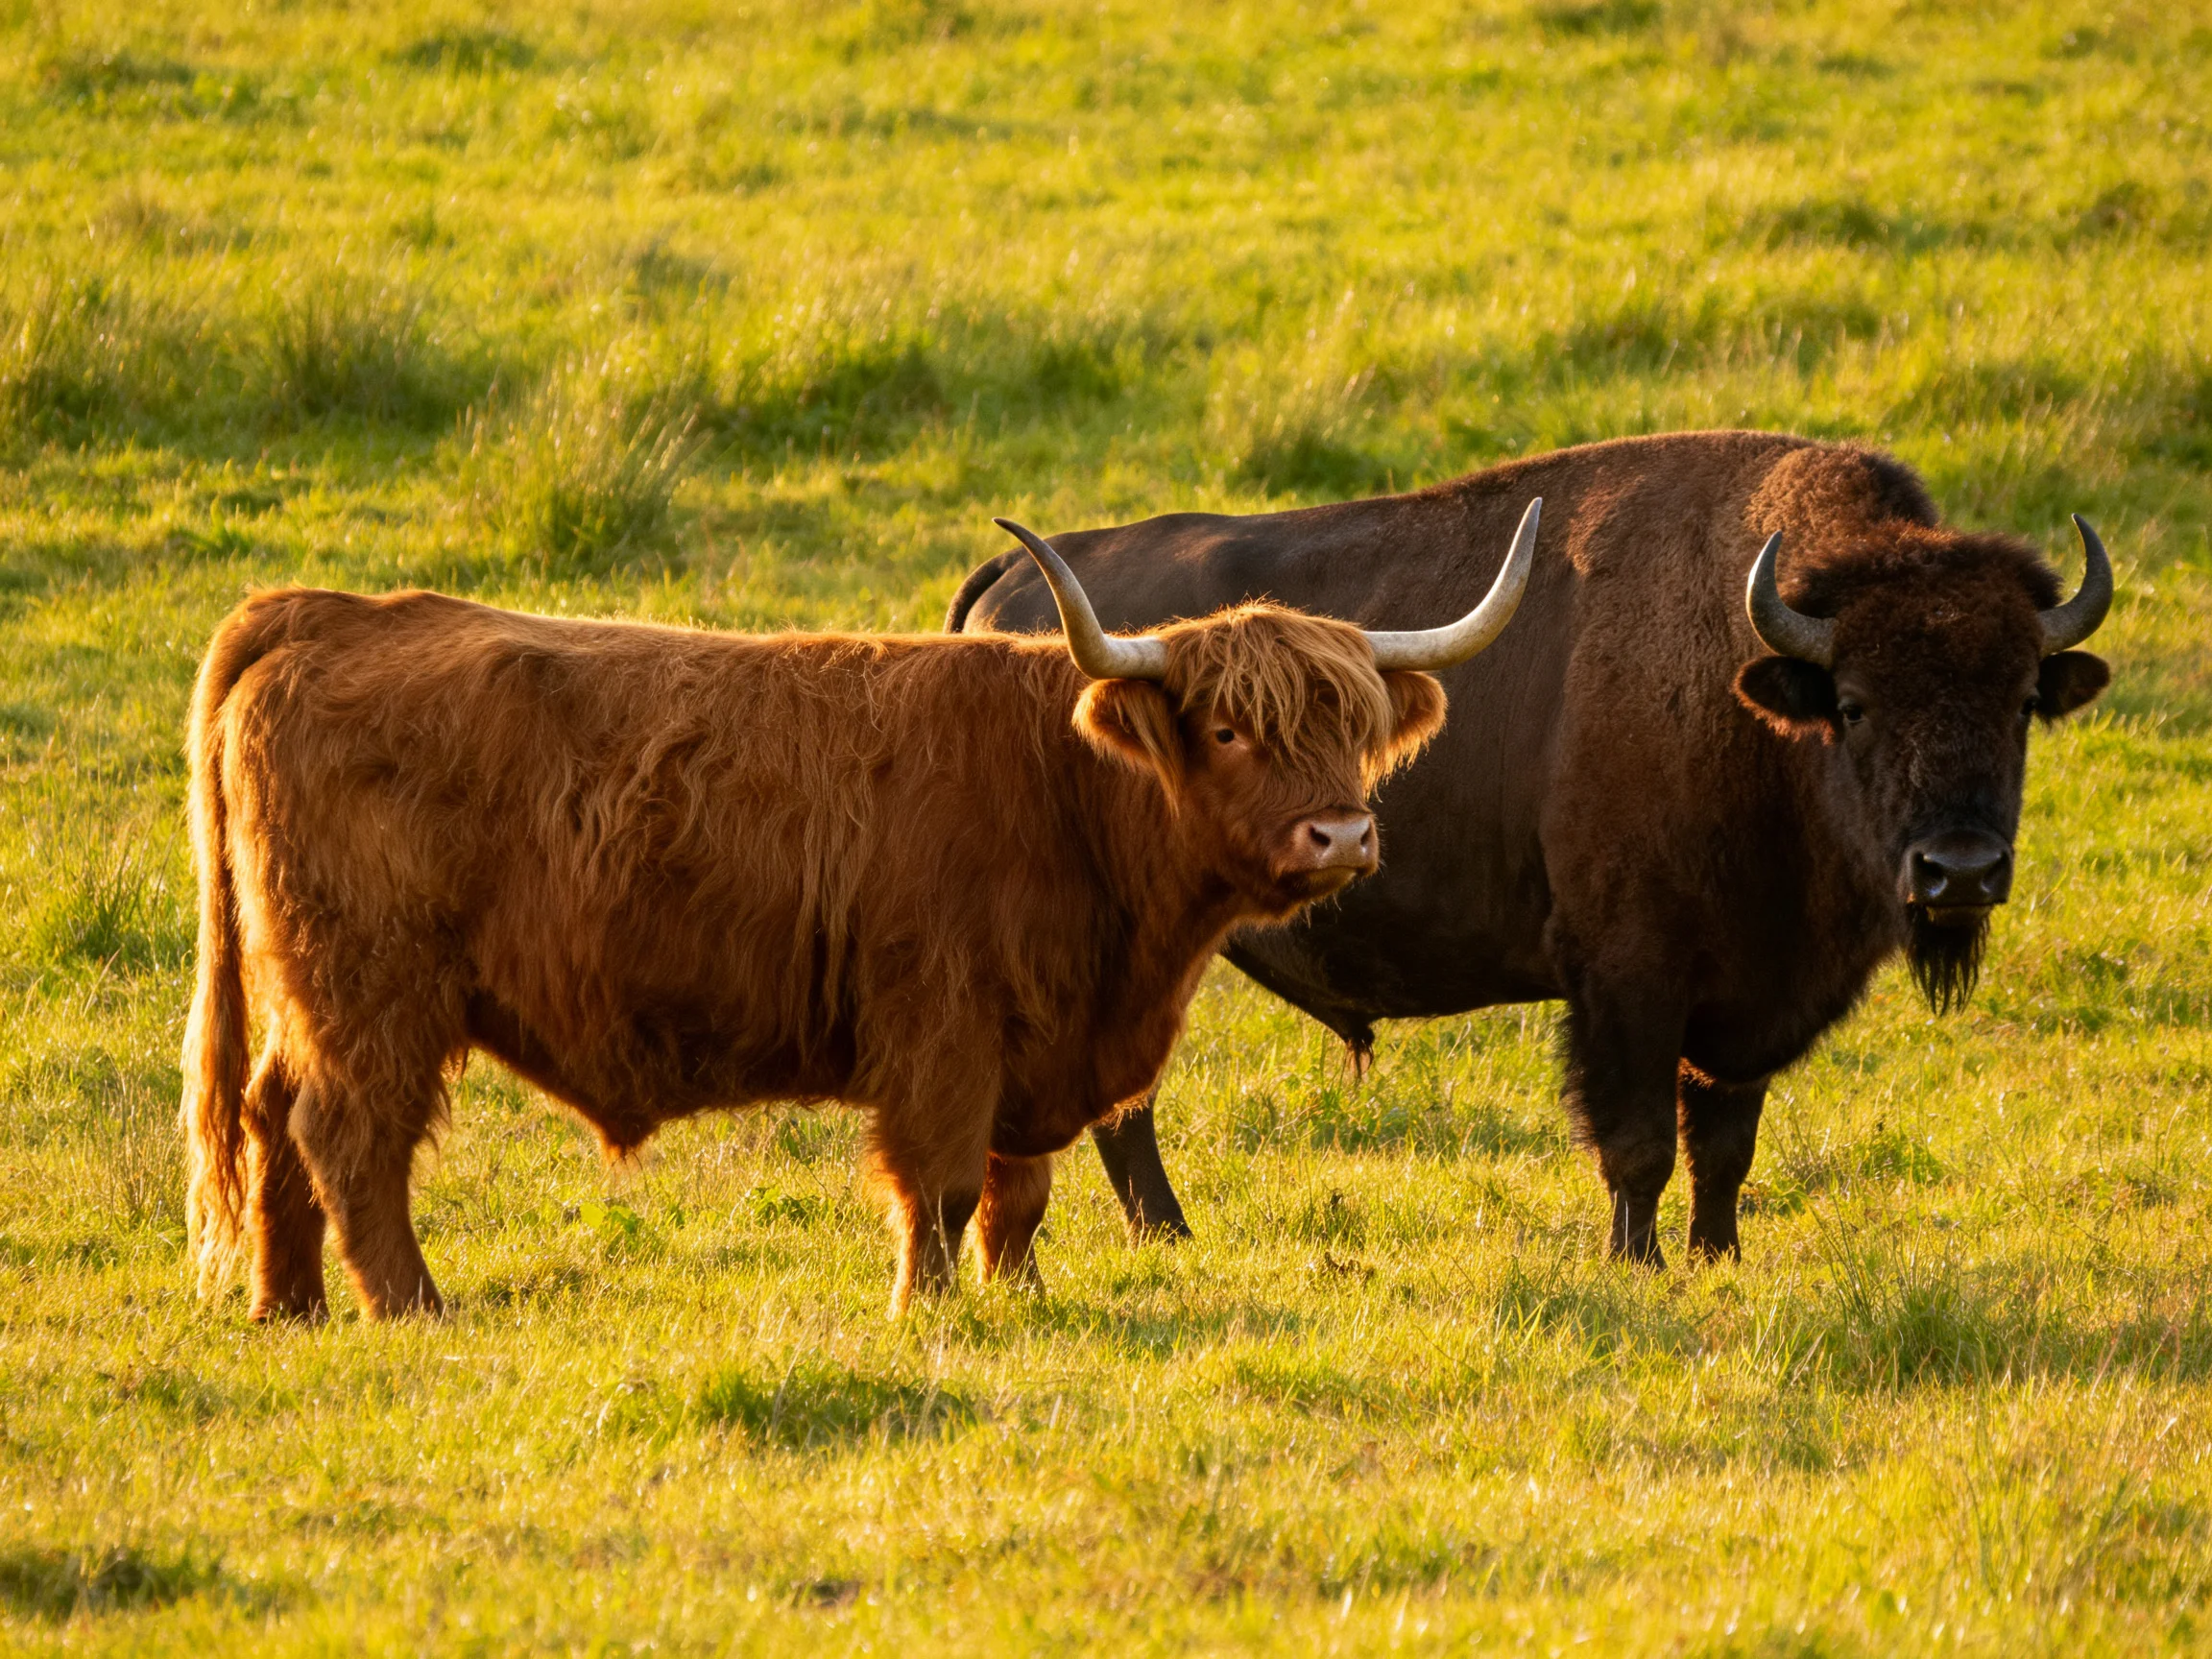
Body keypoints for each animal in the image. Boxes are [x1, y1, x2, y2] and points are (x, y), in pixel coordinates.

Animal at [178, 505, 1537, 1319]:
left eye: (1351, 724)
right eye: (1228, 728)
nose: (1343, 835)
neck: (1067, 794)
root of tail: (330, 612)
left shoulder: (1036, 1041)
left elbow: (1017, 1198)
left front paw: (1019, 1303)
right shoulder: (941, 1031)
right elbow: (937, 1185)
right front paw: (927, 1314)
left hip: (312, 986)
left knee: (272, 1117)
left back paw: (288, 1306)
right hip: (376, 988)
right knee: (350, 1136)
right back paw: (410, 1307)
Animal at [949, 432, 2112, 1264]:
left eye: (2020, 702)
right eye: (1857, 704)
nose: (1960, 871)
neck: (1749, 689)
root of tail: (1012, 577)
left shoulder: (1746, 997)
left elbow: (1724, 1146)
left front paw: (1719, 1260)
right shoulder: (1627, 977)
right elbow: (1639, 1143)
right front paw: (1637, 1264)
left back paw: (1168, 1240)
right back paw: (1159, 1237)